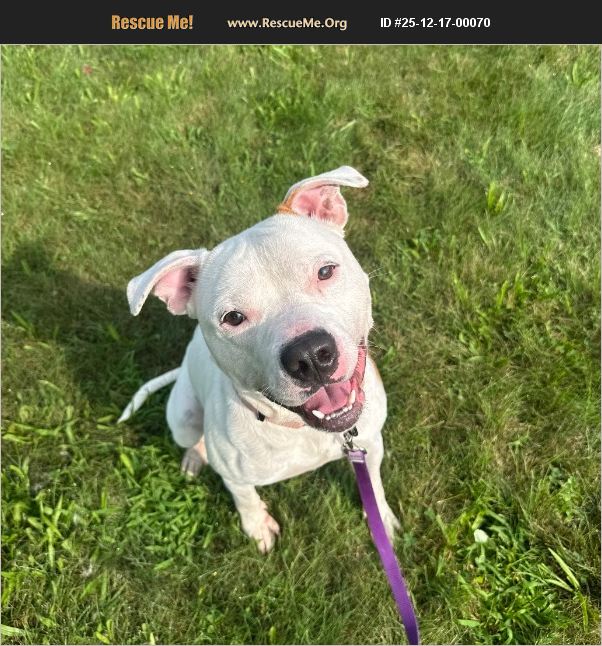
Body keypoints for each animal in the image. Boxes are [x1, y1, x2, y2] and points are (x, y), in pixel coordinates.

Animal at [119, 166, 400, 553]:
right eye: (233, 318)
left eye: (325, 271)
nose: (310, 355)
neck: (299, 429)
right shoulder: (235, 477)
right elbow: (245, 498)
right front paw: (257, 526)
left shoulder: (369, 443)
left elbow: (372, 482)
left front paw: (381, 519)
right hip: (183, 418)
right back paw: (195, 456)